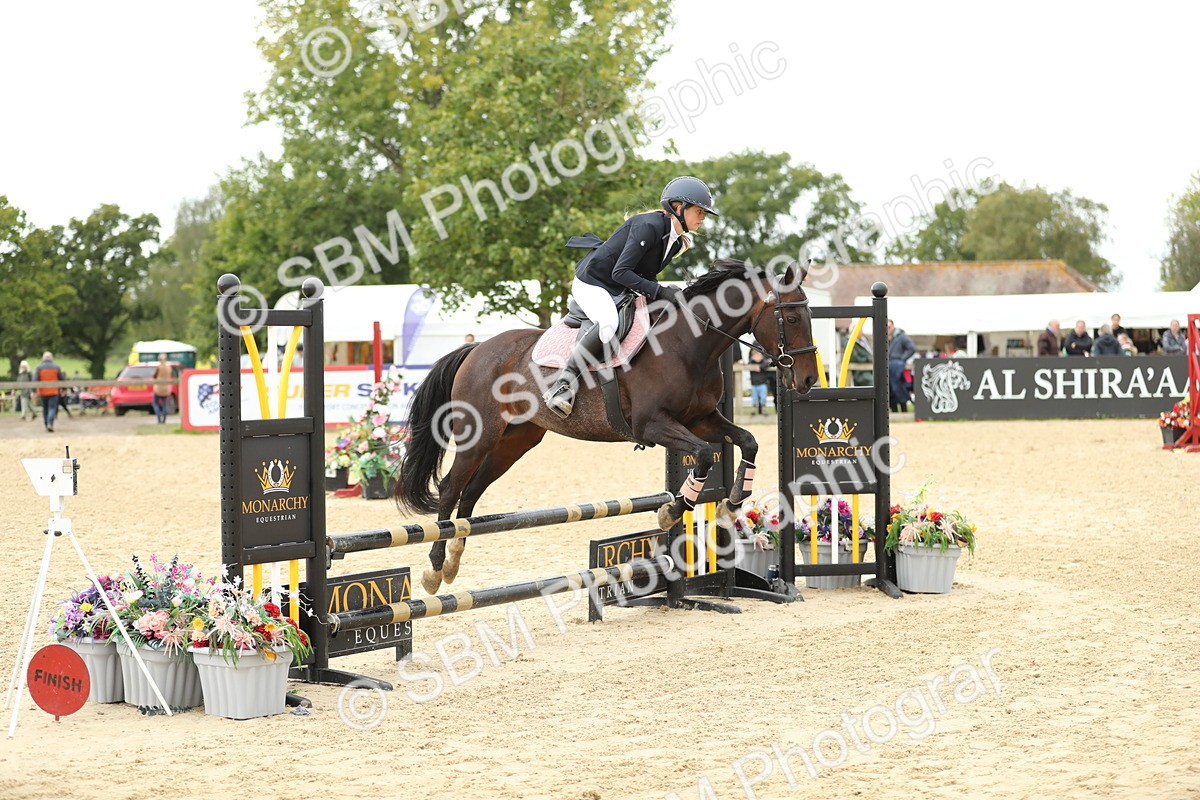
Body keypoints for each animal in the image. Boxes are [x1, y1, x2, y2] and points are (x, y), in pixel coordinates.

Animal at [396, 258, 820, 594]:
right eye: (792, 317)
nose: (808, 380)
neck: (690, 343)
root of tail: (477, 349)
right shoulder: (653, 425)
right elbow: (701, 455)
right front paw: (672, 511)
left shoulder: (701, 420)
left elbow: (748, 442)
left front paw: (731, 505)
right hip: (479, 434)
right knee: (451, 489)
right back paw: (435, 570)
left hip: (515, 441)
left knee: (471, 492)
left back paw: (452, 562)